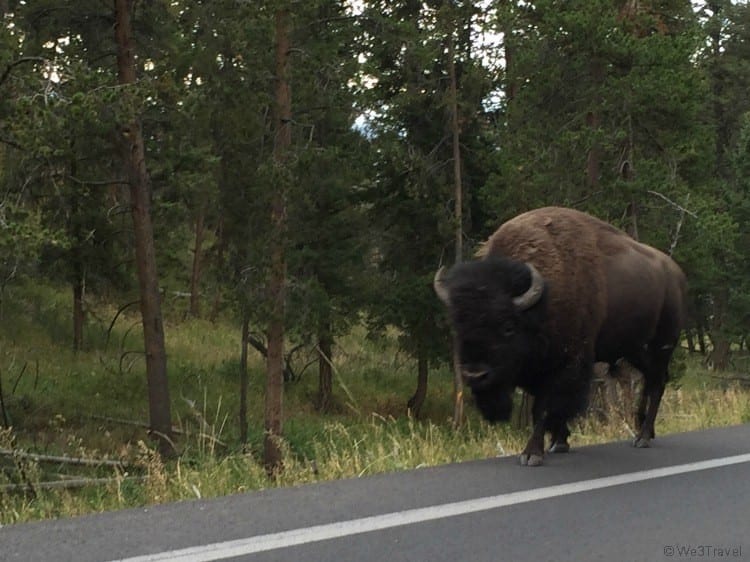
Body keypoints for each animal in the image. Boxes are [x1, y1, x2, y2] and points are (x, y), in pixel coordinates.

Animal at [434, 206, 688, 464]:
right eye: (458, 325)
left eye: (507, 327)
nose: (475, 375)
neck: (540, 303)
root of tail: (675, 273)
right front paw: (559, 442)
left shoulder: (564, 365)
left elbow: (544, 408)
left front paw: (532, 453)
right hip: (635, 349)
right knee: (651, 378)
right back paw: (644, 429)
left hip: (662, 344)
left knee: (657, 381)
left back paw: (643, 437)